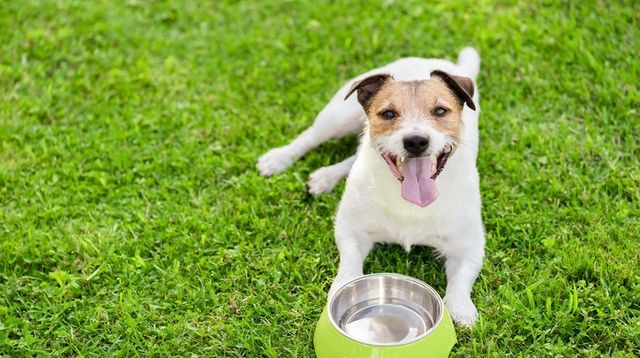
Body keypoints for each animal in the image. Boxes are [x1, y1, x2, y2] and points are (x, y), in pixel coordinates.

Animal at [258, 48, 482, 328]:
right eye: (388, 114)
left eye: (440, 111)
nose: (416, 141)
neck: (408, 202)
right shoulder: (350, 228)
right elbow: (350, 262)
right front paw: (343, 287)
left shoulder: (470, 246)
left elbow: (461, 280)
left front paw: (460, 310)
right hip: (337, 116)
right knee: (310, 137)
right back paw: (279, 159)